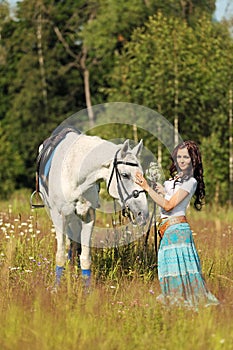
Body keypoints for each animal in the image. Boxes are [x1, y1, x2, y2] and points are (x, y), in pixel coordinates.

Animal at [33, 128, 148, 284]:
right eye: (125, 175)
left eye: (141, 174)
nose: (143, 212)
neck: (75, 173)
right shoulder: (59, 217)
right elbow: (60, 256)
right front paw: (57, 287)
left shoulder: (88, 216)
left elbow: (85, 258)